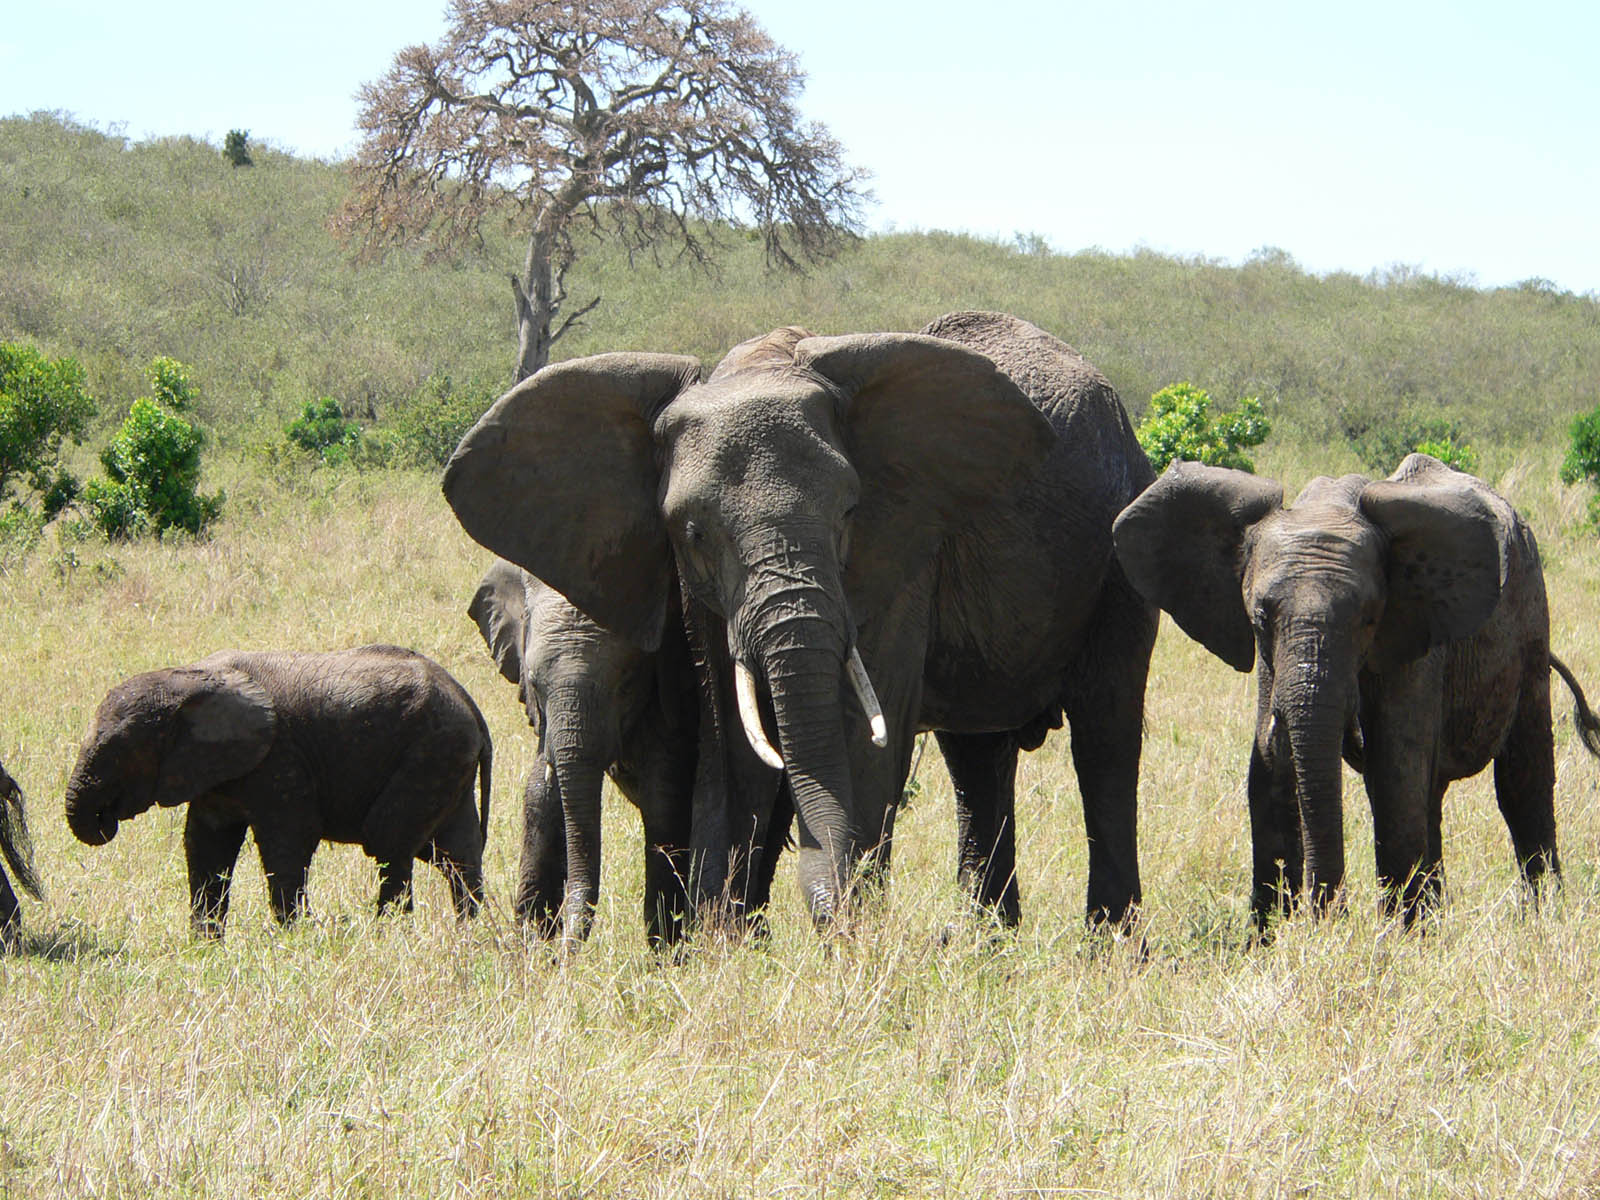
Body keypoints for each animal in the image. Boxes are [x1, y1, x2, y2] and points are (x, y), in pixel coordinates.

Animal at [67, 649, 492, 940]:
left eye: (118, 752)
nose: (105, 819)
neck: (188, 677)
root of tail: (469, 701)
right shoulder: (216, 771)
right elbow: (206, 844)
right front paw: (205, 945)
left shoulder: (279, 757)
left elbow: (288, 838)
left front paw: (295, 936)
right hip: (445, 756)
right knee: (455, 853)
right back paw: (468, 931)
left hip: (432, 750)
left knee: (388, 840)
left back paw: (388, 934)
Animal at [1113, 451, 1600, 928]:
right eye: (1260, 617)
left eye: (1368, 618)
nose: (1331, 916)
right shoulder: (1271, 660)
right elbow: (1270, 772)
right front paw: (1272, 937)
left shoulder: (1414, 636)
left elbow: (1394, 770)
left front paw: (1395, 939)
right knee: (1431, 795)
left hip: (1532, 617)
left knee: (1520, 778)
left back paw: (1542, 919)